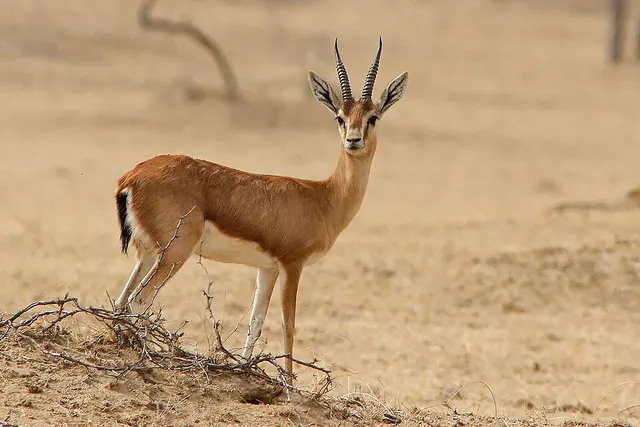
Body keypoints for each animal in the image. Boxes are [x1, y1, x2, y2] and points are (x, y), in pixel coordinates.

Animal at [113, 37, 408, 378]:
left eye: (373, 117)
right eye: (340, 117)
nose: (354, 140)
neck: (323, 197)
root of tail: (131, 176)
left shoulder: (266, 269)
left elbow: (255, 322)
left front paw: (244, 369)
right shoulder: (292, 264)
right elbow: (287, 325)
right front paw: (289, 382)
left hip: (148, 253)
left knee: (121, 302)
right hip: (175, 254)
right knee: (138, 302)